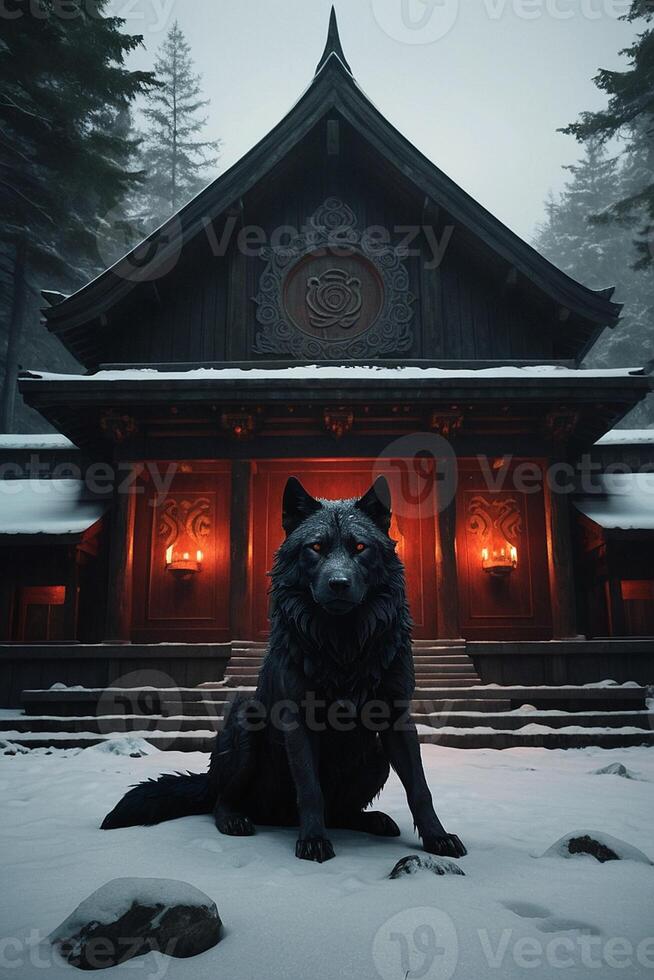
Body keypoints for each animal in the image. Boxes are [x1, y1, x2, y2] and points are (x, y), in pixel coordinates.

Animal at [102, 478, 466, 860]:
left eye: (360, 546)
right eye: (316, 547)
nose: (339, 583)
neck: (343, 646)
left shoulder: (397, 718)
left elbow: (420, 788)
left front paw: (437, 837)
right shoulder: (298, 719)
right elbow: (309, 788)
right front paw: (313, 840)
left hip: (377, 754)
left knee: (342, 813)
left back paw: (372, 820)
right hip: (244, 724)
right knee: (220, 800)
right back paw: (235, 820)